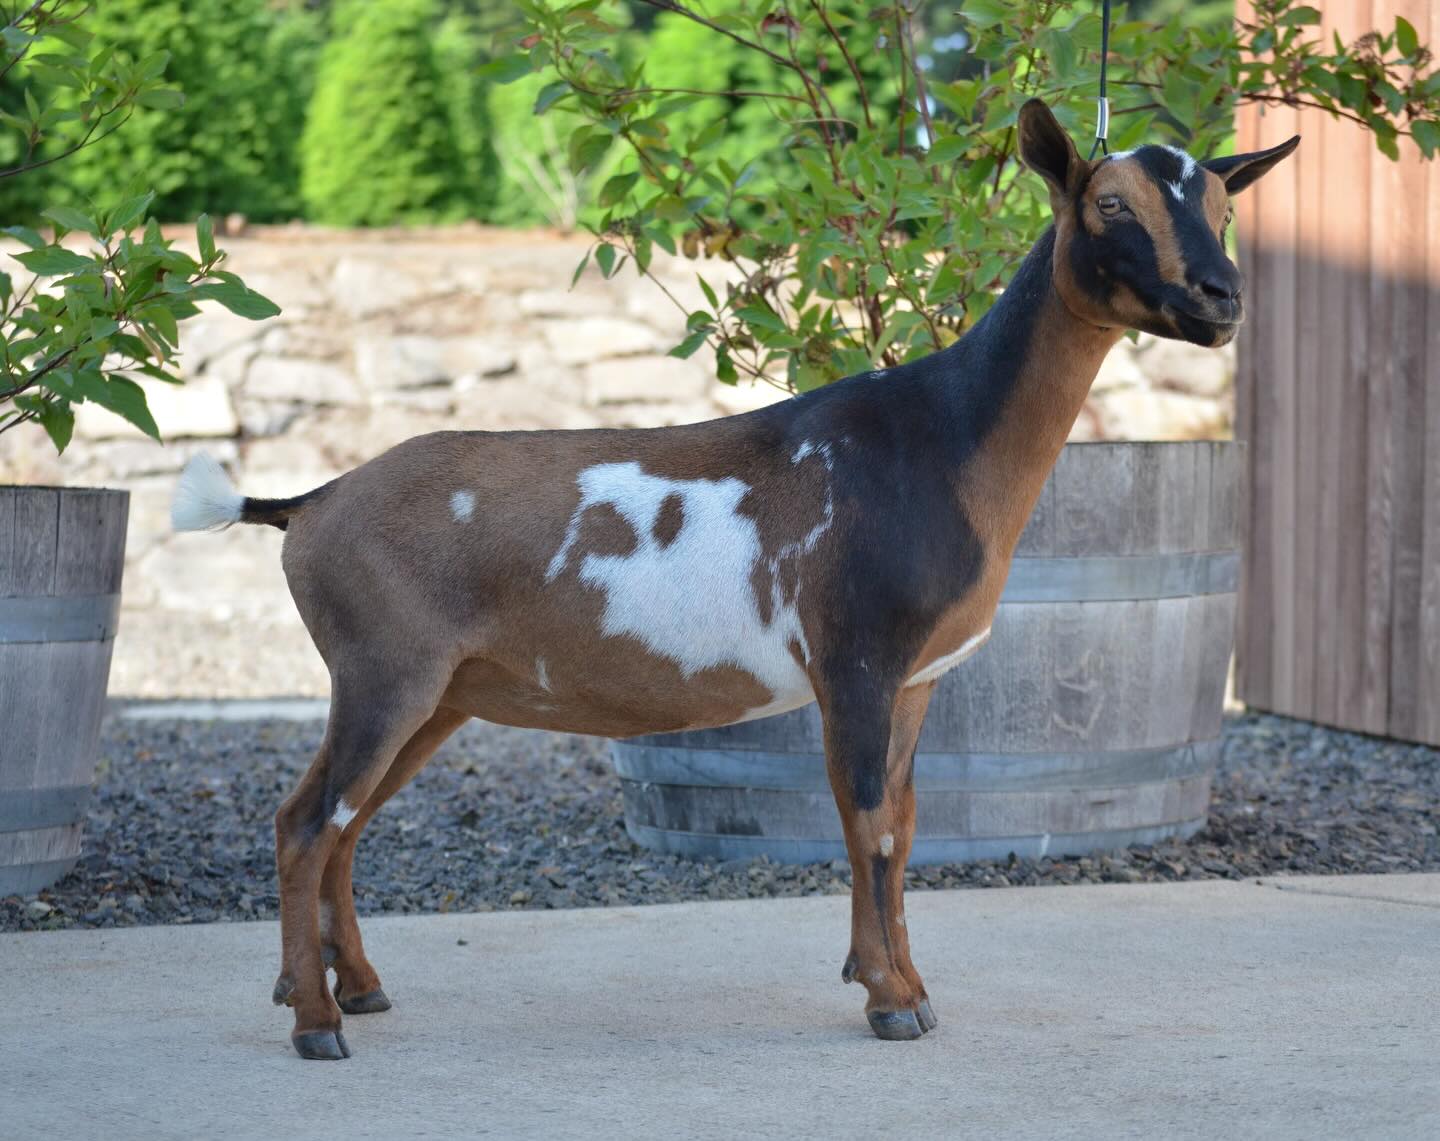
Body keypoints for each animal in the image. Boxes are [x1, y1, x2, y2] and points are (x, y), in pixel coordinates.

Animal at [172, 101, 1298, 1060]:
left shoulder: (916, 676)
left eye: (1225, 208)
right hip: (383, 669)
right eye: (1112, 204)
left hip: (435, 691)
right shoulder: (854, 656)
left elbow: (901, 827)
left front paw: (903, 982)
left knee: (338, 821)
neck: (938, 441)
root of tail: (308, 503)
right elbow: (866, 823)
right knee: (309, 823)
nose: (1222, 298)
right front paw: (891, 1000)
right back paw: (316, 1022)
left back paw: (347, 987)